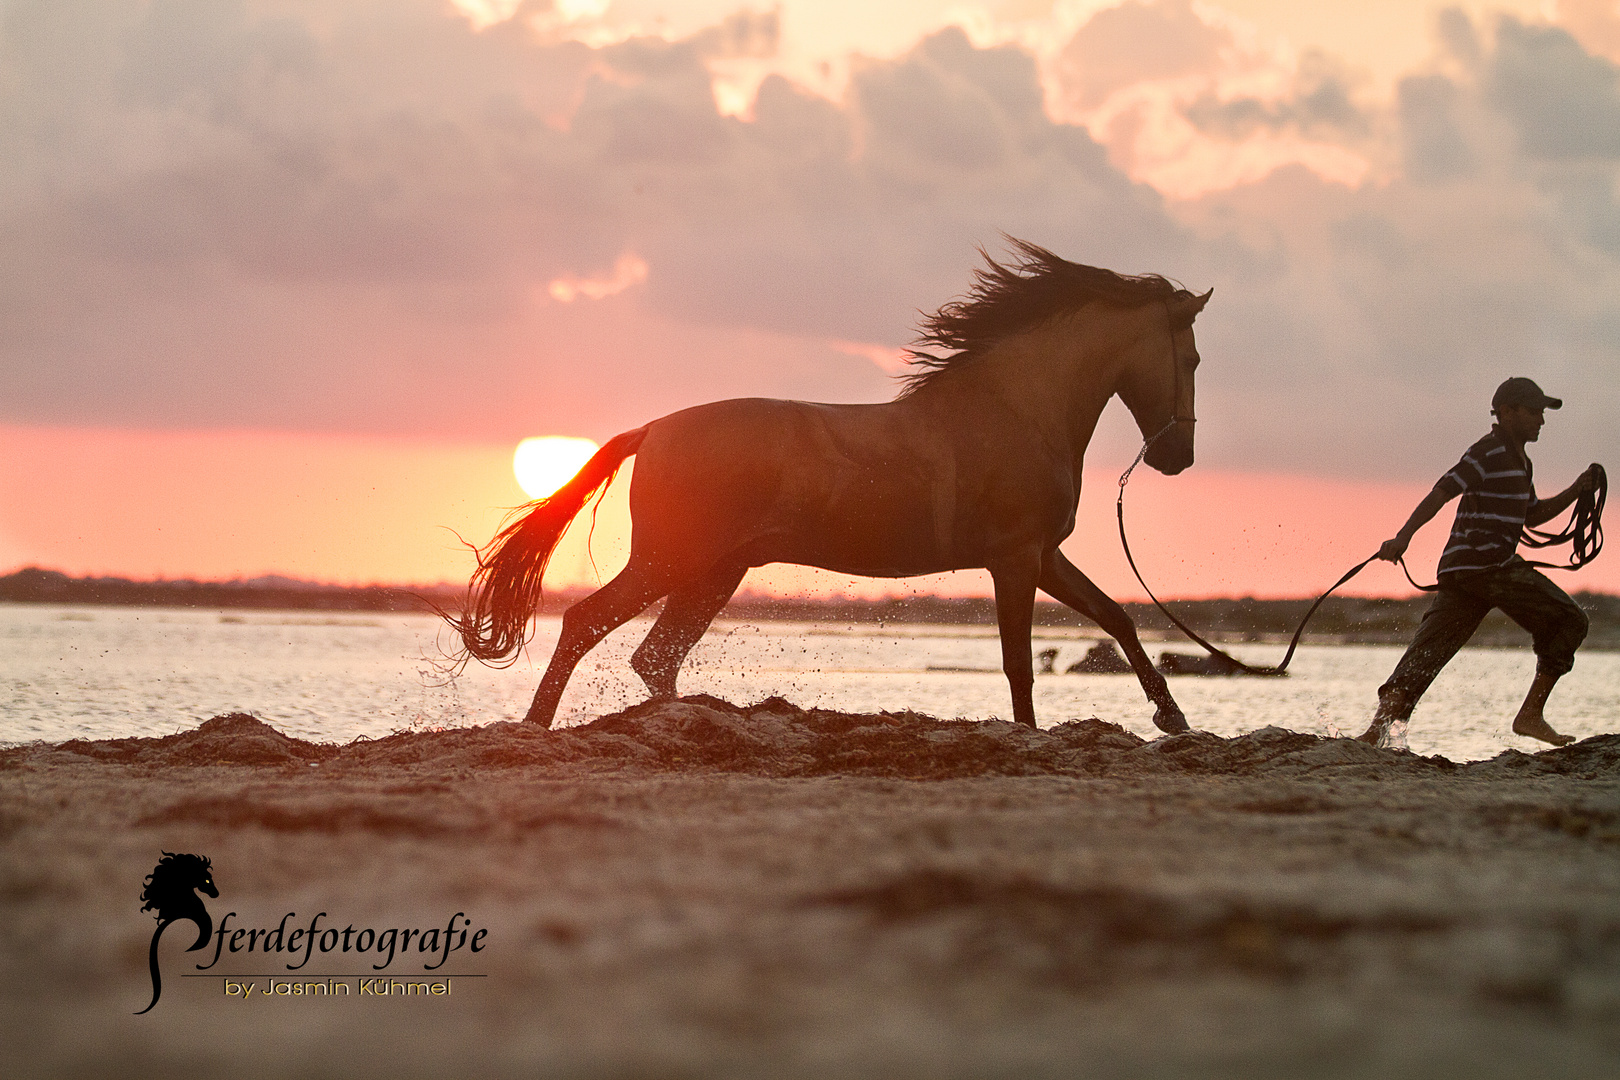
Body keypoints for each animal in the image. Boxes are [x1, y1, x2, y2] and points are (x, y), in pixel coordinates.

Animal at [450, 242, 1211, 735]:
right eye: (1195, 357)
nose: (1177, 457)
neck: (1017, 407)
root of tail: (654, 429)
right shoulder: (1016, 560)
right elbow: (1019, 663)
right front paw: (1029, 732)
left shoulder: (1043, 556)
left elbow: (1116, 617)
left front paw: (1171, 715)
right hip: (671, 561)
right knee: (587, 624)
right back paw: (537, 723)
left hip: (714, 572)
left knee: (654, 655)